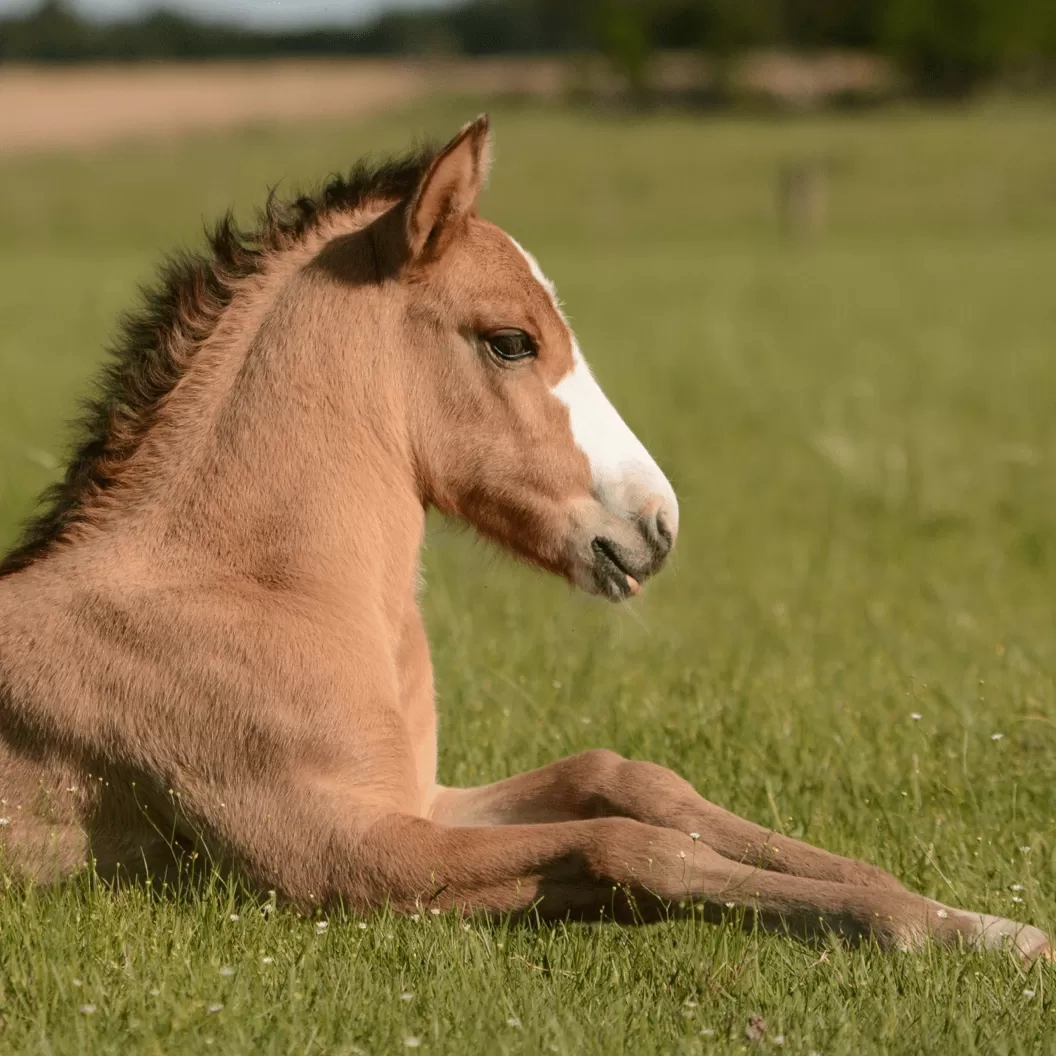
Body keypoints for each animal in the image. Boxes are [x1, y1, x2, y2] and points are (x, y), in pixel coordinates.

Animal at [0, 119, 1047, 963]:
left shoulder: (423, 800)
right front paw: (930, 931)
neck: (253, 591)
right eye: (510, 340)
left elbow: (624, 780)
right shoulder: (334, 855)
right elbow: (628, 843)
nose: (656, 524)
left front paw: (956, 912)